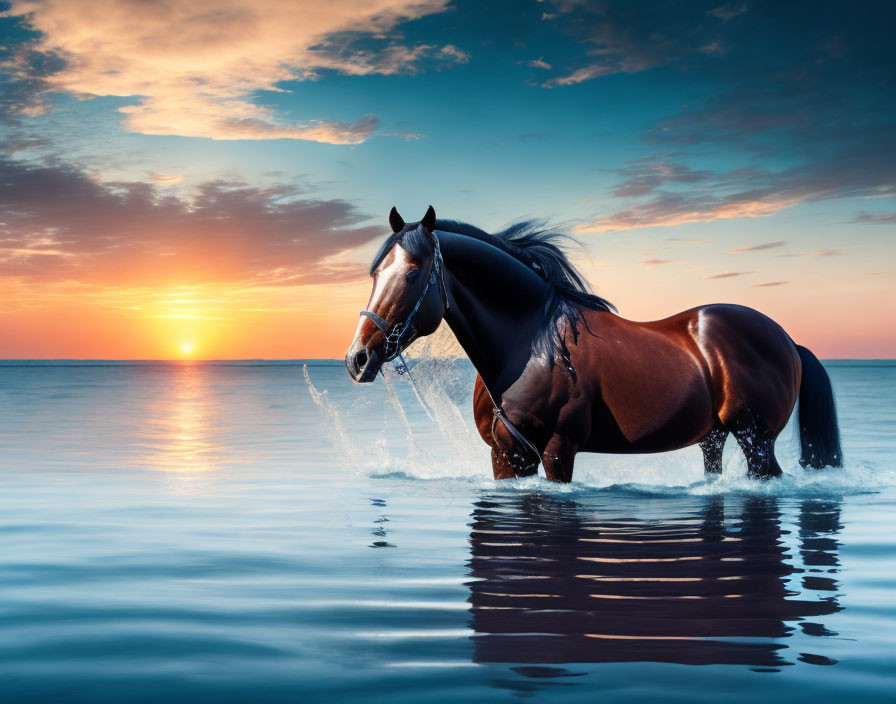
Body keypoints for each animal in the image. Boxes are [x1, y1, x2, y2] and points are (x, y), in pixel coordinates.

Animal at [344, 206, 840, 482]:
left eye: (413, 275)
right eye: (376, 273)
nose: (358, 358)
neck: (528, 346)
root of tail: (787, 340)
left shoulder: (557, 451)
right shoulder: (506, 456)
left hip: (757, 441)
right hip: (713, 439)